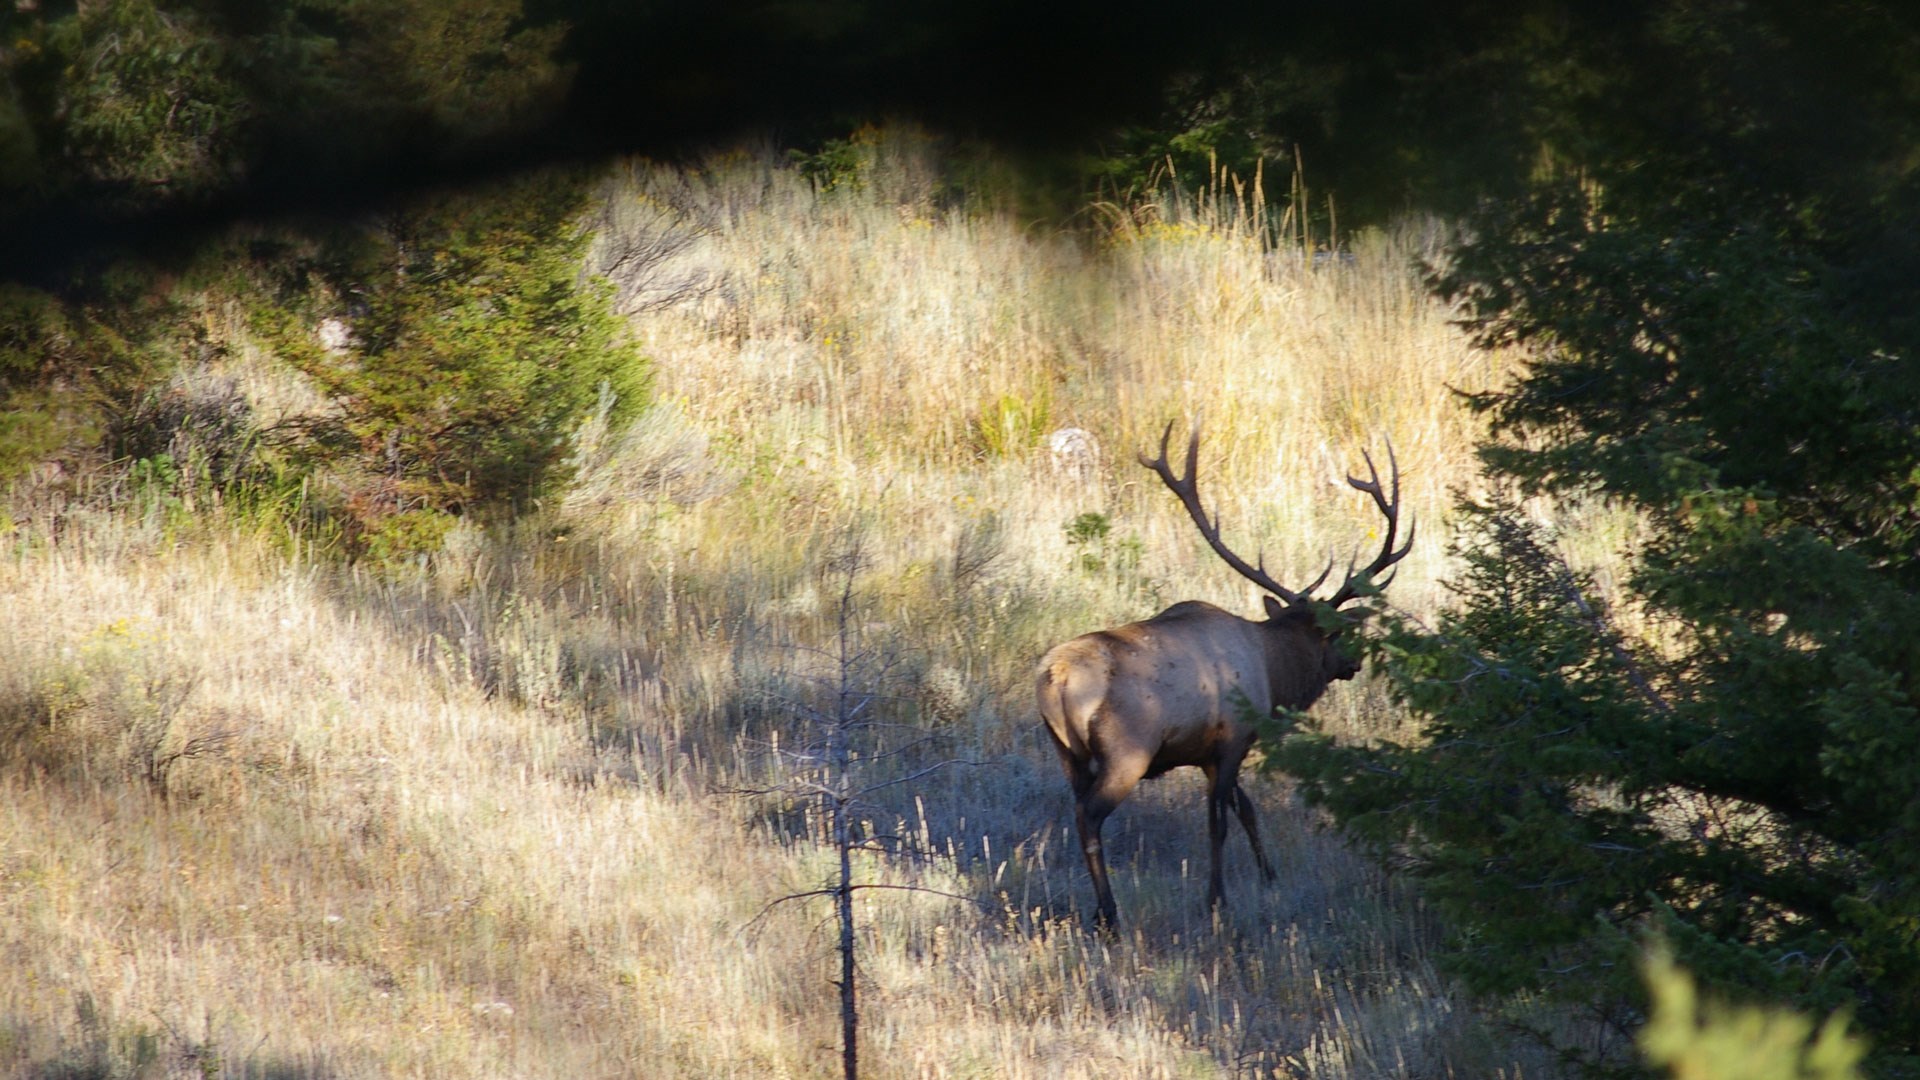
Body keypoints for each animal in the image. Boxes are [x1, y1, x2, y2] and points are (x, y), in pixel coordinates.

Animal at [1036, 420, 1413, 926]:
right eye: (1340, 634)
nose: (1355, 663)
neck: (1274, 675)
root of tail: (1055, 678)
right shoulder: (1233, 737)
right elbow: (1218, 823)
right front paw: (1217, 900)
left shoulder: (1207, 751)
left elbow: (1245, 808)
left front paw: (1268, 875)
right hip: (1126, 752)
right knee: (1089, 817)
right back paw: (1109, 915)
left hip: (1066, 754)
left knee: (1076, 806)